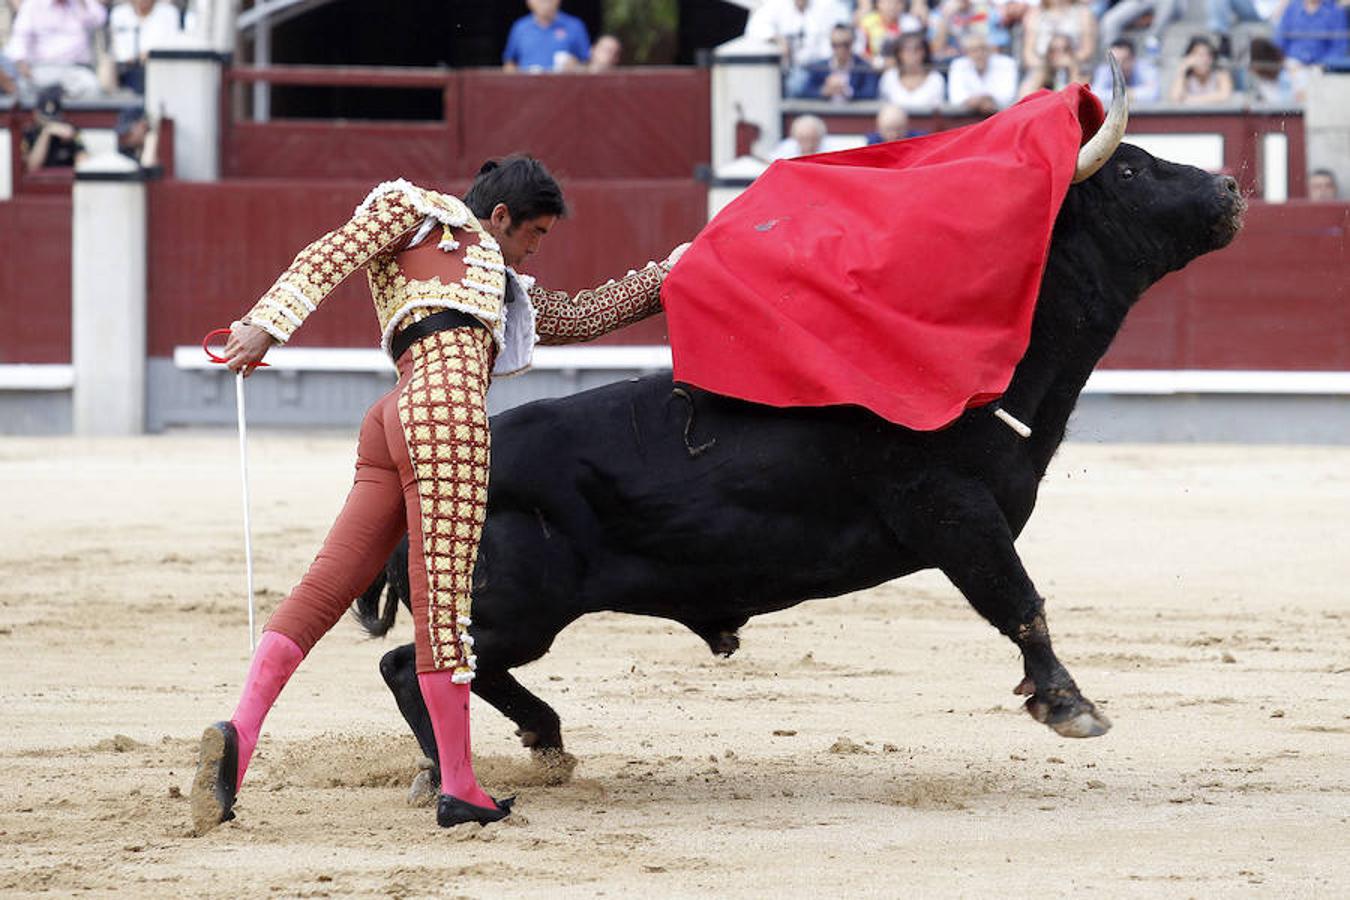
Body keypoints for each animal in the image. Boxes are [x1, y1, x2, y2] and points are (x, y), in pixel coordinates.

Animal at [351, 144, 1242, 777]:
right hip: (513, 604)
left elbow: (1018, 601)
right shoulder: (954, 511)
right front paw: (1070, 705)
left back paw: (544, 740)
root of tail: (419, 474)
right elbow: (1019, 600)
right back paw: (445, 770)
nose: (1231, 188)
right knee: (411, 665)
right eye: (1131, 167)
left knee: (458, 670)